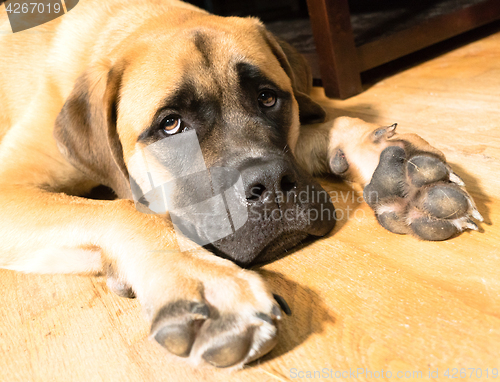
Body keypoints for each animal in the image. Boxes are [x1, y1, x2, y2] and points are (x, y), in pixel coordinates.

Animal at [0, 0, 482, 370]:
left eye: (268, 98)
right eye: (170, 124)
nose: (269, 184)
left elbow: (324, 124)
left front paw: (397, 168)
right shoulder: (9, 185)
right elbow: (127, 211)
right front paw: (201, 281)